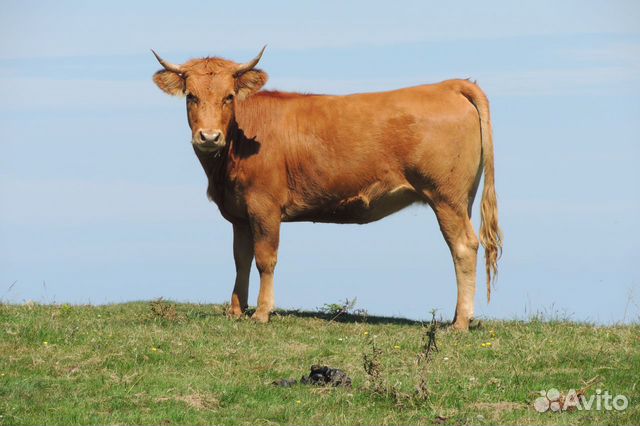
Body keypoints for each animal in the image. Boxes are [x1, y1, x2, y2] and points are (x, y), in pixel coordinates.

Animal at [152, 48, 502, 332]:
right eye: (191, 97)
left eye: (228, 97)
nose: (209, 136)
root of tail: (448, 84)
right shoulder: (239, 213)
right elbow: (241, 259)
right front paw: (236, 310)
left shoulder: (264, 206)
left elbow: (265, 258)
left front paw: (262, 313)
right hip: (463, 199)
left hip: (445, 196)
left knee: (463, 247)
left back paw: (460, 322)